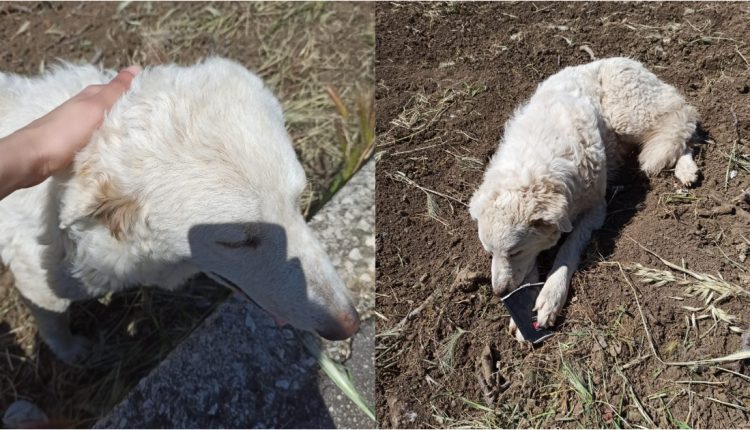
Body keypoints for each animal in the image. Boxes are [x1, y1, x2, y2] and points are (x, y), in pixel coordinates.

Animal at [0, 57, 360, 363]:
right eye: (237, 241)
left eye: (298, 202)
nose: (349, 325)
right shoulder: (38, 284)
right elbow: (52, 320)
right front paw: (70, 351)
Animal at [469, 57, 699, 341]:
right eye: (489, 253)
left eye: (515, 251)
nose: (499, 293)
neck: (534, 162)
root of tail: (626, 60)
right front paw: (523, 308)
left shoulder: (595, 210)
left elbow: (567, 249)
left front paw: (550, 296)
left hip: (627, 115)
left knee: (682, 118)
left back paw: (686, 167)